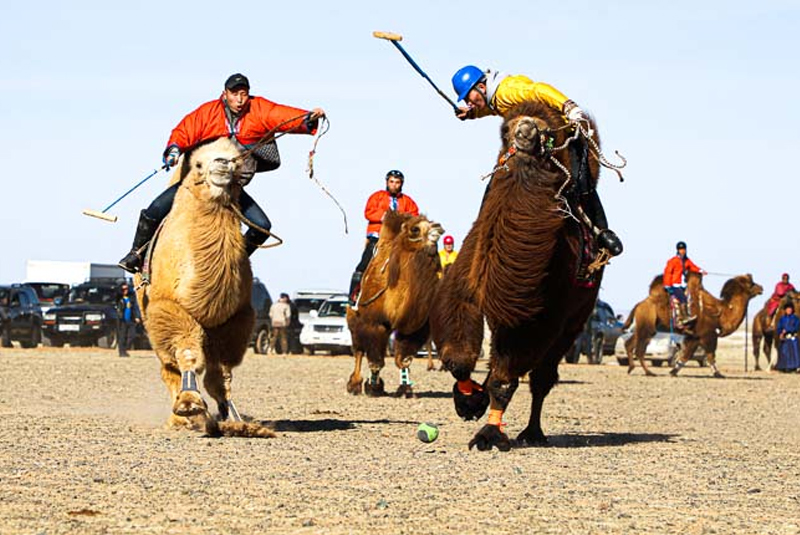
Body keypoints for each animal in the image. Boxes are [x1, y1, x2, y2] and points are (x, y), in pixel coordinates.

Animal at [135, 137, 271, 437]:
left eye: (236, 161)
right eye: (198, 164)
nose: (222, 164)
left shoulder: (235, 320)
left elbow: (221, 372)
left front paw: (232, 417)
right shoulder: (170, 309)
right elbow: (187, 354)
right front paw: (189, 404)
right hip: (149, 317)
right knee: (169, 368)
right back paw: (179, 418)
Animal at [346, 211, 443, 398]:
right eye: (415, 229)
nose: (439, 229)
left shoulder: (410, 329)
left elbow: (404, 360)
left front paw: (405, 389)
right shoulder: (374, 323)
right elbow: (376, 361)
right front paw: (373, 387)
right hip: (355, 320)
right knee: (359, 351)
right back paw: (354, 385)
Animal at [431, 101, 610, 451]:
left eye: (548, 135)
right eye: (504, 130)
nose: (526, 131)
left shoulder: (538, 316)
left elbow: (506, 378)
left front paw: (488, 434)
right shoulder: (465, 288)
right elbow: (459, 360)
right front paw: (467, 400)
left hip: (574, 320)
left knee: (542, 377)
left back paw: (532, 432)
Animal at [623, 272, 763, 377]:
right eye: (752, 284)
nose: (761, 288)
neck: (721, 313)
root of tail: (639, 305)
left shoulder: (694, 336)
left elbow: (686, 355)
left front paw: (673, 371)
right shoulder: (708, 335)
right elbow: (710, 355)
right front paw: (718, 374)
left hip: (643, 326)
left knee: (629, 344)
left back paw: (631, 368)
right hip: (647, 327)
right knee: (639, 350)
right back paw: (649, 372)